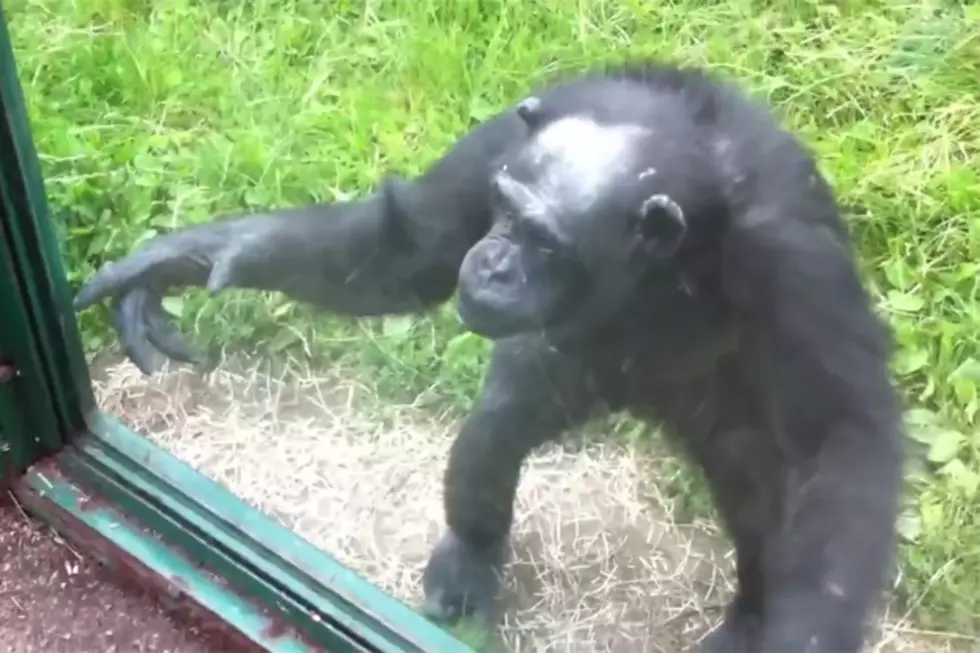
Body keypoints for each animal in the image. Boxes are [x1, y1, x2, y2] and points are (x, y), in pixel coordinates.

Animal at [74, 61, 904, 652]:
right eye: (504, 207)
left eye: (544, 240)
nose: (497, 260)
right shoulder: (505, 142)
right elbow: (411, 248)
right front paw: (189, 257)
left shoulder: (792, 256)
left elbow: (845, 433)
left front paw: (804, 632)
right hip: (570, 368)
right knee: (498, 427)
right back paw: (470, 563)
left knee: (763, 494)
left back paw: (749, 616)